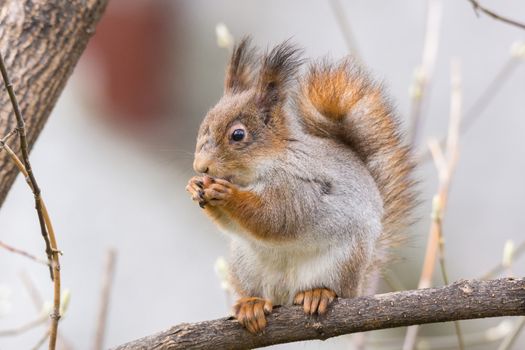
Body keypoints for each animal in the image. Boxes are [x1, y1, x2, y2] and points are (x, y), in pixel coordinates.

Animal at [184, 38, 414, 334]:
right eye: (204, 125)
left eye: (238, 135)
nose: (201, 167)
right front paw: (194, 186)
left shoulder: (296, 187)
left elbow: (275, 217)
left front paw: (226, 195)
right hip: (246, 266)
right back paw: (252, 305)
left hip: (342, 261)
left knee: (335, 289)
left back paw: (319, 293)